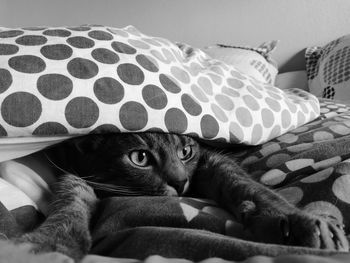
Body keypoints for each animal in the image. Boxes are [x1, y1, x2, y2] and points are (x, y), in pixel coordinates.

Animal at [10, 133, 348, 260]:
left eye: (185, 151)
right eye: (140, 158)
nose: (182, 182)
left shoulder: (209, 160)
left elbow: (243, 182)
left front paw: (297, 218)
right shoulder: (71, 170)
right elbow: (71, 198)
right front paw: (47, 243)